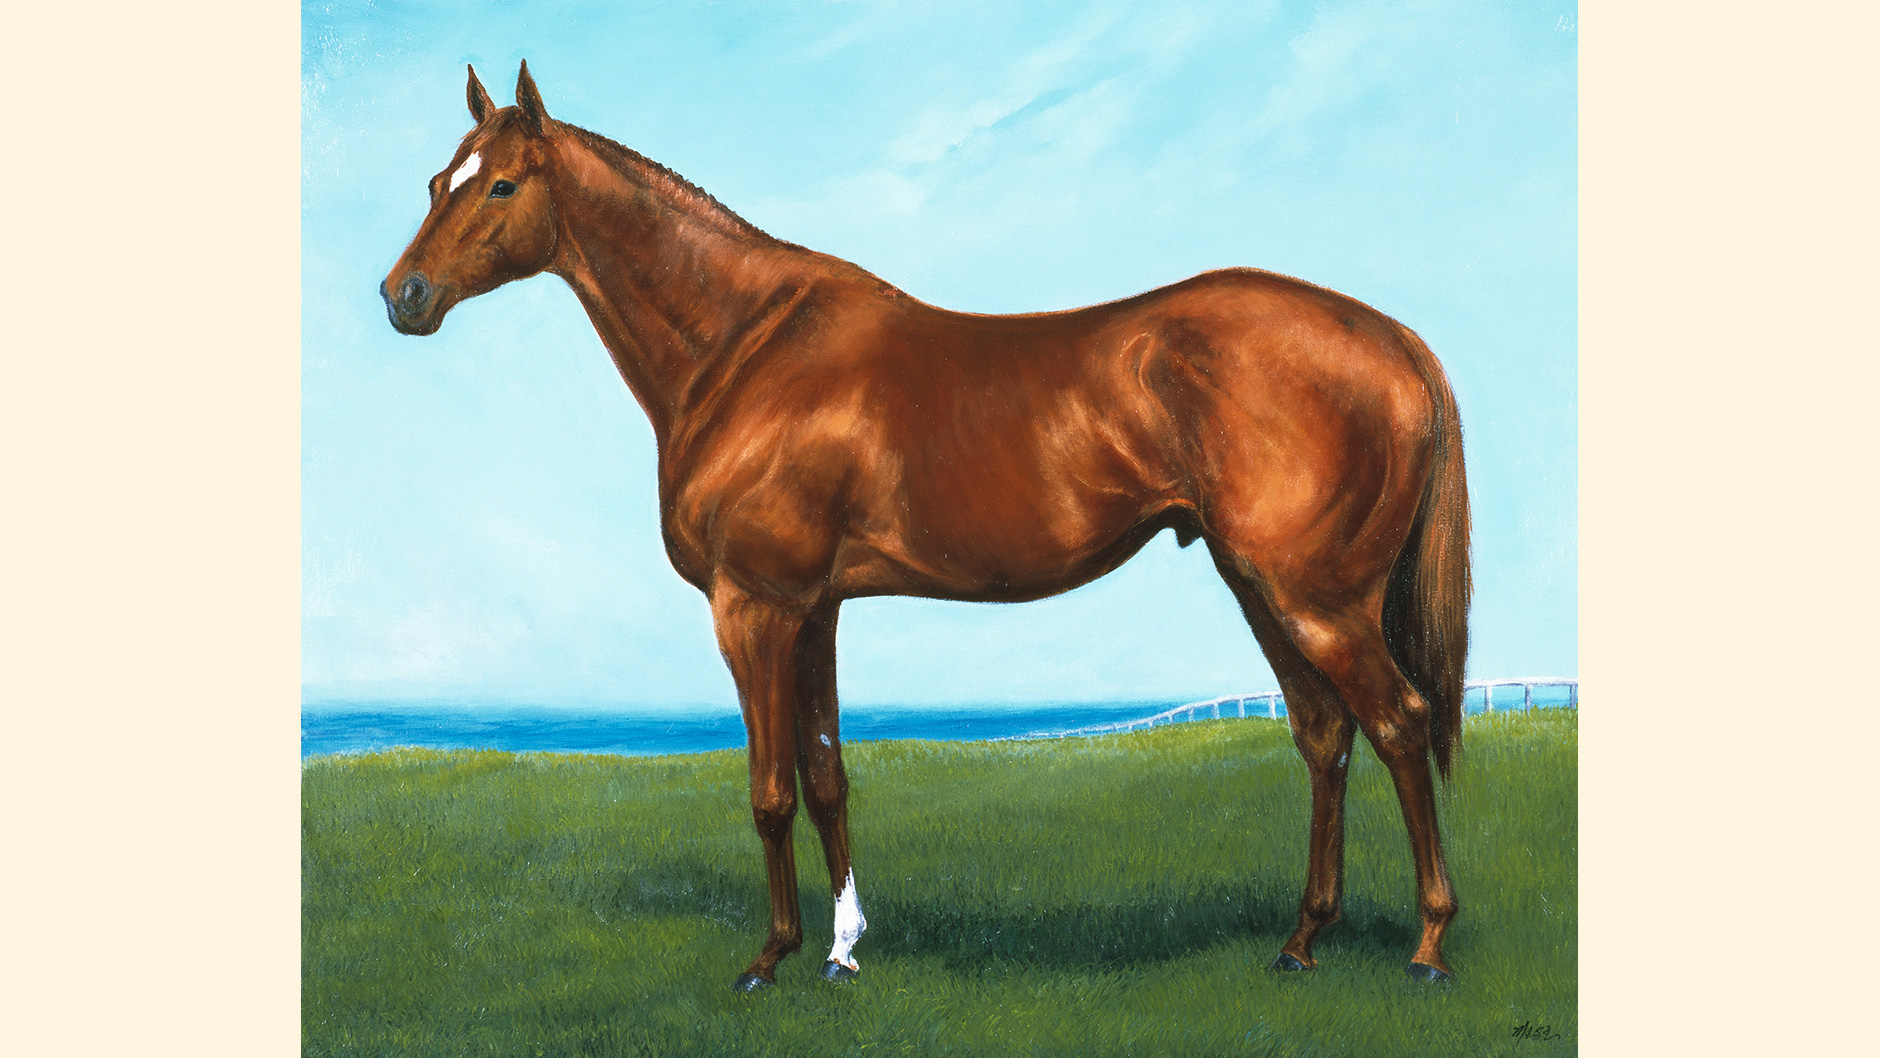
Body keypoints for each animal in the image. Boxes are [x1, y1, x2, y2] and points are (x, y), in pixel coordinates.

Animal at [383, 62, 1472, 991]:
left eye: (501, 187)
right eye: (440, 178)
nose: (403, 297)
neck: (745, 347)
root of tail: (1391, 339)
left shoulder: (754, 607)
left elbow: (769, 789)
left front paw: (770, 958)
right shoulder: (814, 608)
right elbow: (826, 774)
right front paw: (842, 950)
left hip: (1316, 598)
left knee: (1398, 722)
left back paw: (1426, 946)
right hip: (1263, 590)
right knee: (1324, 733)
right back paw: (1300, 940)